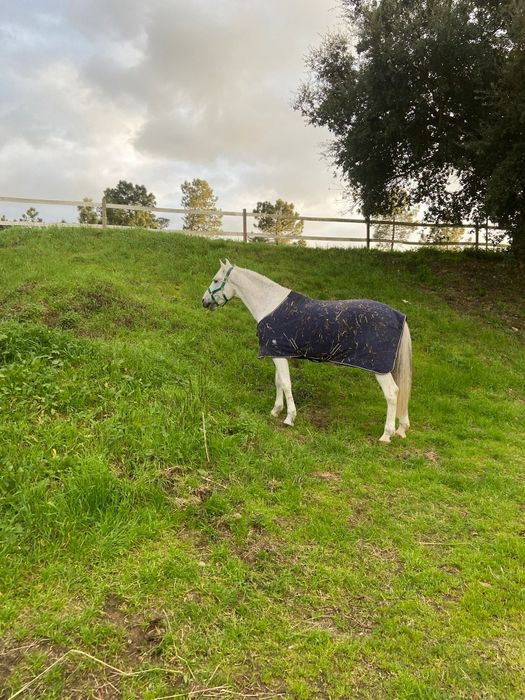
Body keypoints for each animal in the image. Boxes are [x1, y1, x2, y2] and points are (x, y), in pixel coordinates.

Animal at [202, 259, 412, 442]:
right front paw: (276, 411)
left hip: (379, 368)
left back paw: (386, 435)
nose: (204, 301)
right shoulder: (277, 354)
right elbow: (279, 382)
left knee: (392, 393)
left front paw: (289, 418)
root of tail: (399, 316)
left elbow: (286, 384)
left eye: (216, 280)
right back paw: (401, 429)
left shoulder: (279, 356)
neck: (270, 305)